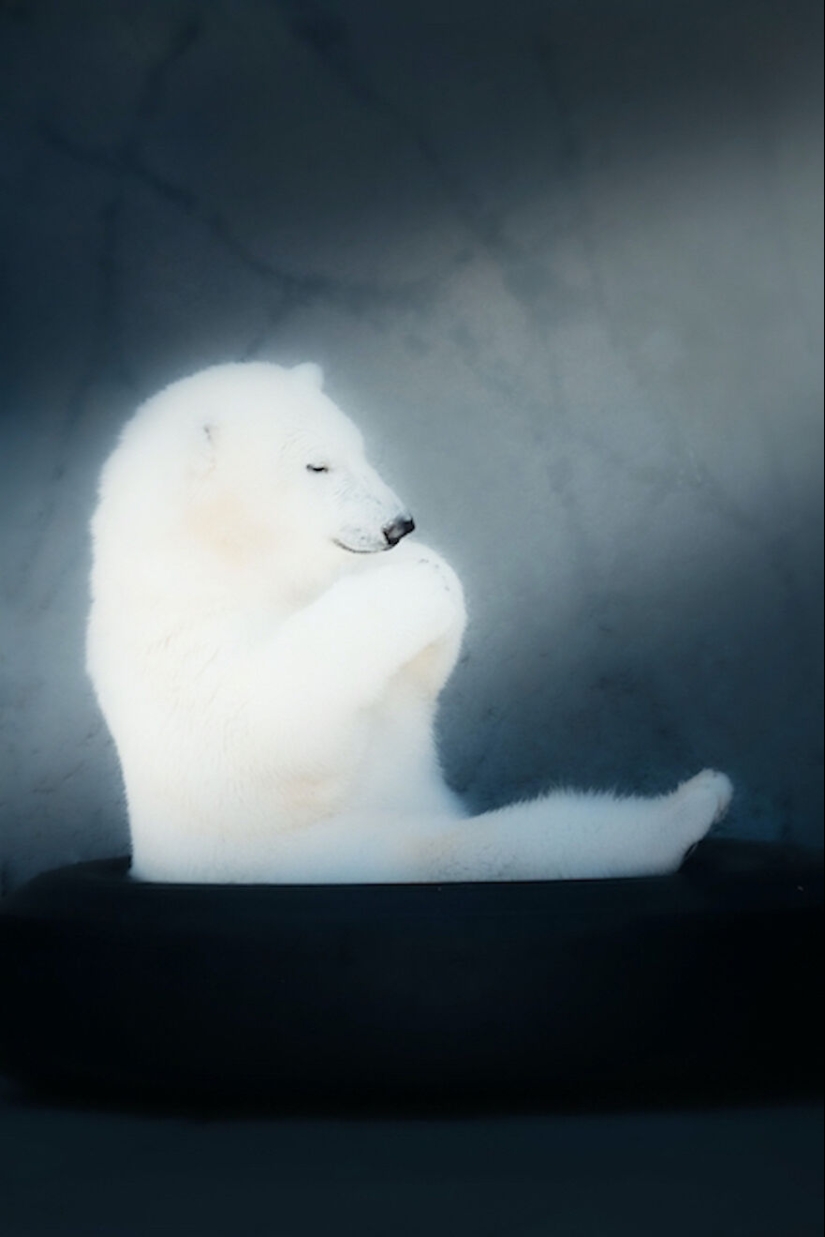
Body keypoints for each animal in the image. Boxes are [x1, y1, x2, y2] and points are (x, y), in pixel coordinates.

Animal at [87, 361, 732, 883]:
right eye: (316, 465)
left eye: (361, 449)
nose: (400, 525)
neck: (222, 553)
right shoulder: (181, 636)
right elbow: (264, 726)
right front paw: (416, 579)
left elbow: (414, 686)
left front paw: (433, 571)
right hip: (342, 855)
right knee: (485, 850)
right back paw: (687, 812)